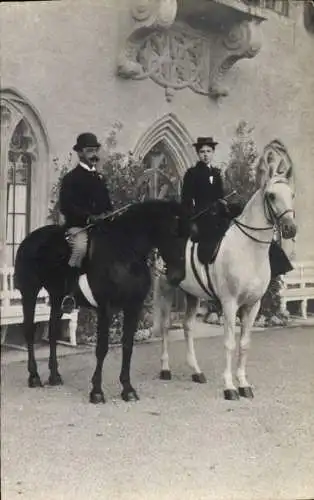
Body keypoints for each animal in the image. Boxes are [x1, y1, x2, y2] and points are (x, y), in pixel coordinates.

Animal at [14, 199, 186, 402]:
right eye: (174, 231)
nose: (177, 276)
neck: (125, 253)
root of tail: (29, 239)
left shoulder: (133, 307)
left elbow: (128, 346)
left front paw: (128, 389)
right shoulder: (106, 308)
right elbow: (102, 348)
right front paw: (96, 391)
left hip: (56, 297)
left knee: (53, 332)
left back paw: (55, 376)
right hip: (30, 292)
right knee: (29, 331)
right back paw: (34, 377)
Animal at [155, 139, 296, 400]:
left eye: (291, 194)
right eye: (271, 195)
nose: (290, 229)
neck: (249, 249)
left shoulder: (253, 305)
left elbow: (245, 344)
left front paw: (244, 384)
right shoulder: (230, 303)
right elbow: (230, 343)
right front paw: (229, 387)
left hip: (192, 294)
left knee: (188, 327)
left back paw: (196, 371)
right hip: (167, 288)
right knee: (167, 326)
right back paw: (165, 369)